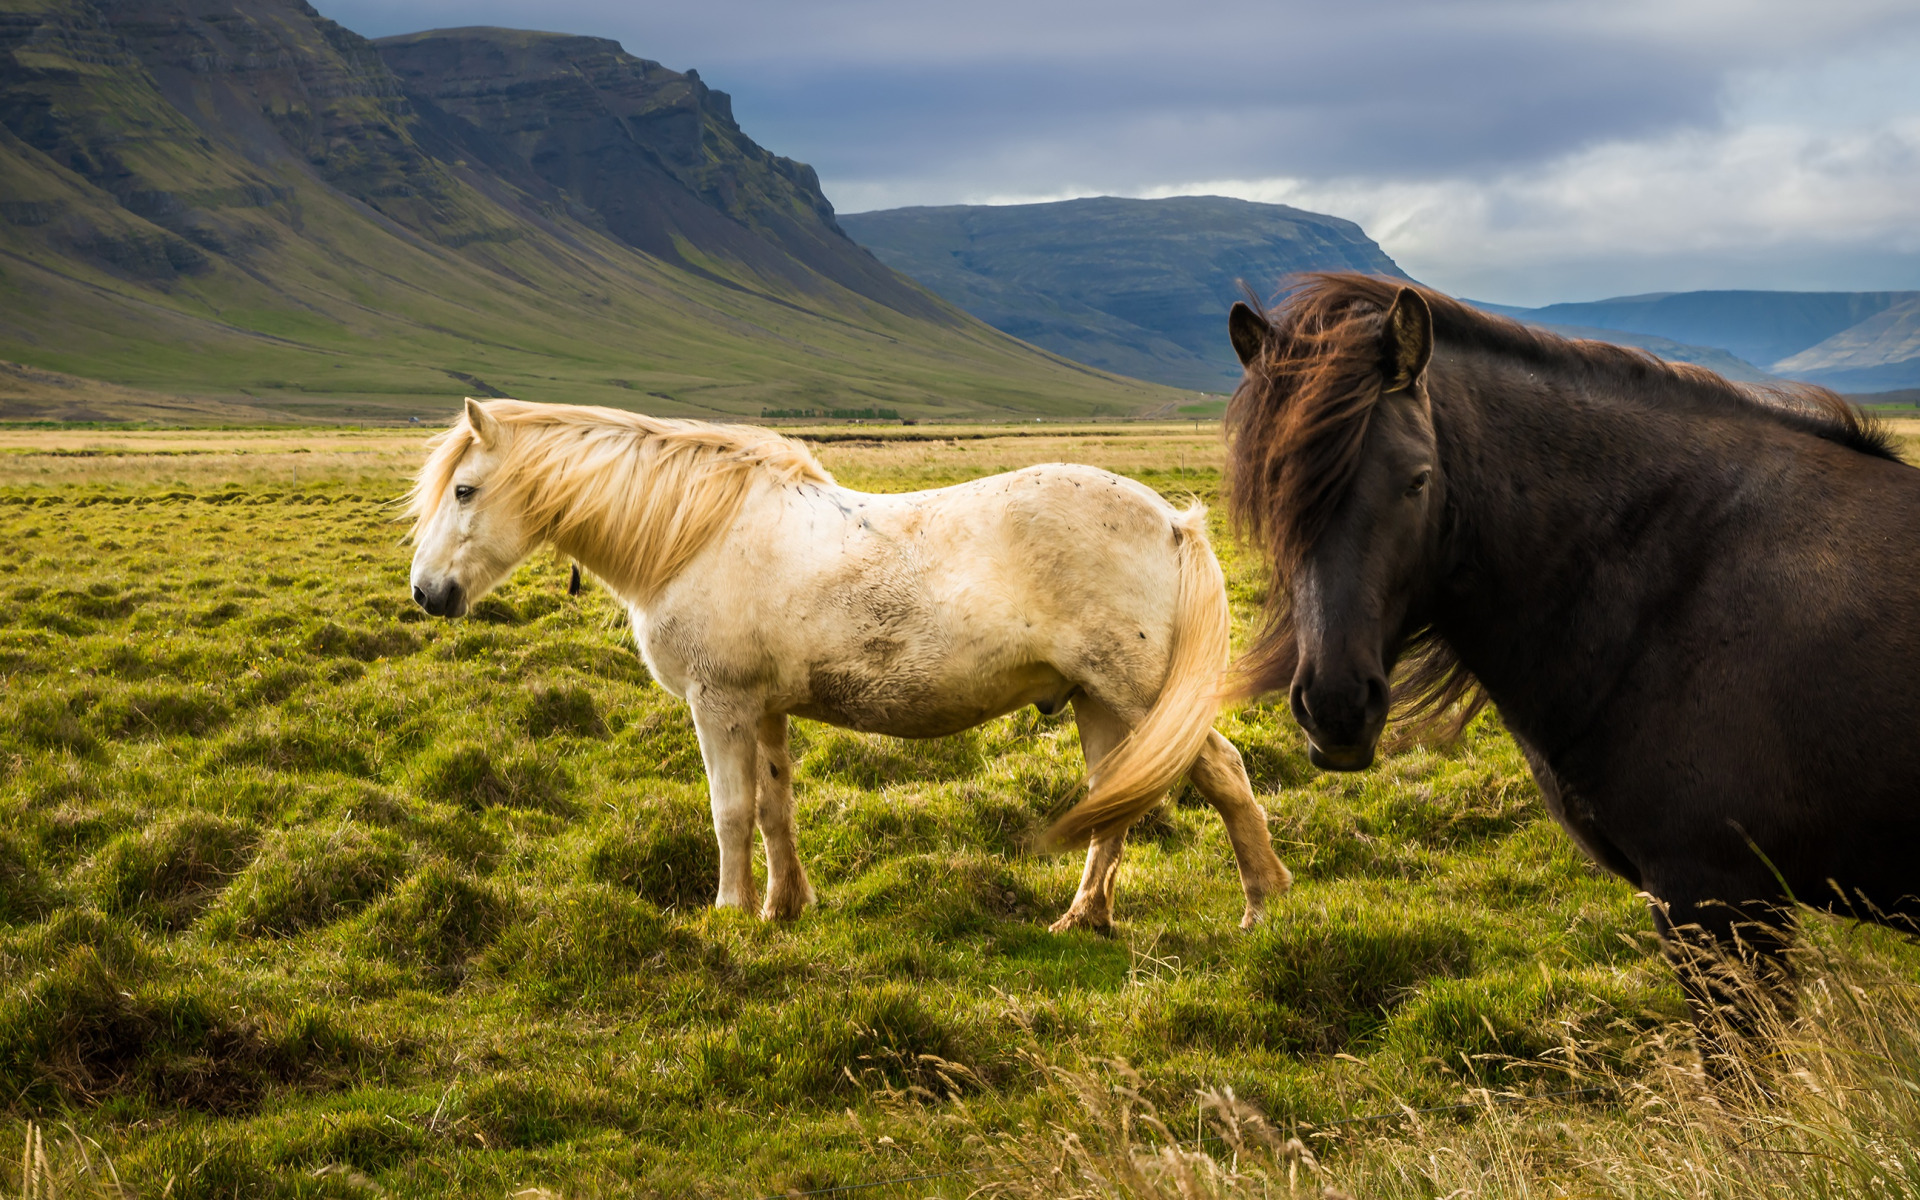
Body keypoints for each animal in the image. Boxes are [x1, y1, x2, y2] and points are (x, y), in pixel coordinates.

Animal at [405, 397, 1290, 933]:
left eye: (465, 491)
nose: (426, 592)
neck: (698, 534)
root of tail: (1172, 521)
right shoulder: (763, 710)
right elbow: (774, 809)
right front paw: (782, 908)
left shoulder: (718, 706)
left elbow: (729, 812)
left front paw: (726, 913)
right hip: (1095, 701)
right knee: (1117, 801)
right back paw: (1084, 918)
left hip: (1136, 693)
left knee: (1223, 771)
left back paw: (1263, 904)